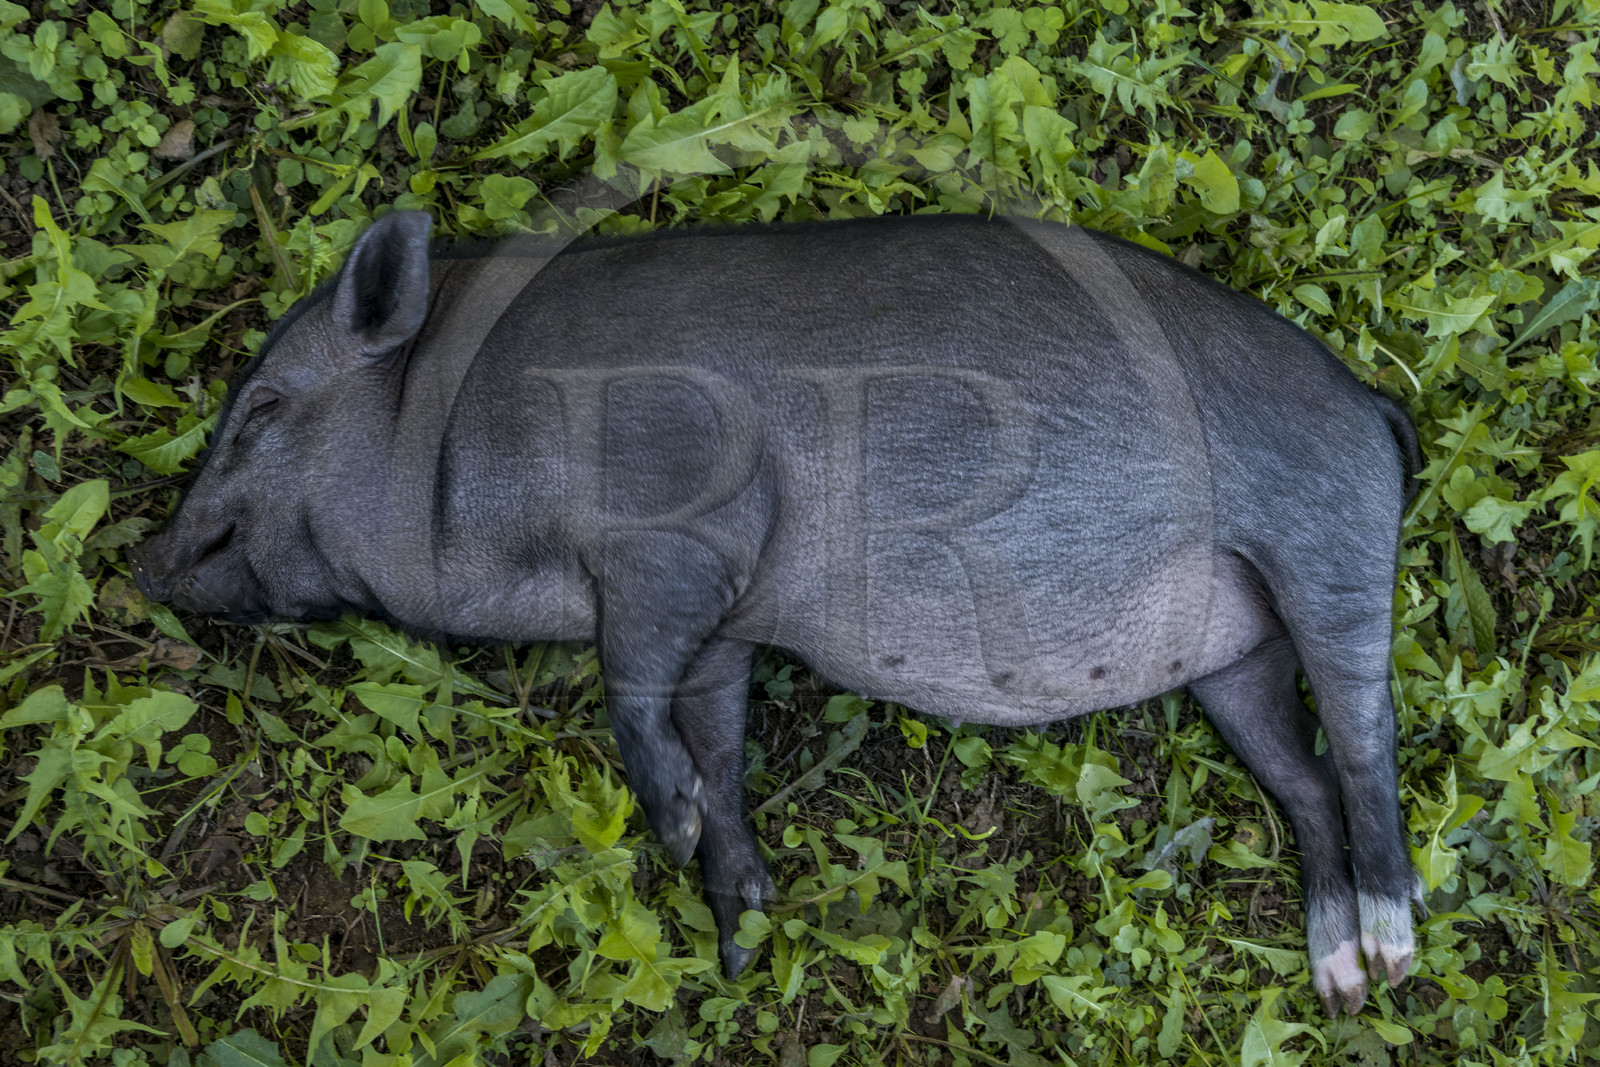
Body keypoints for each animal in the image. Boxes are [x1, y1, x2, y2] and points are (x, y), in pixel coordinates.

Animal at [130, 209, 1423, 1016]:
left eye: (262, 408)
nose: (143, 562)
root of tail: (1373, 402)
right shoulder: (731, 623)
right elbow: (717, 733)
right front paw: (741, 921)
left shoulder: (679, 527)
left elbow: (631, 682)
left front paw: (671, 831)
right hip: (1229, 653)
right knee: (1303, 779)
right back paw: (1338, 979)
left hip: (1328, 544)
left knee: (1365, 745)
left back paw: (1396, 946)